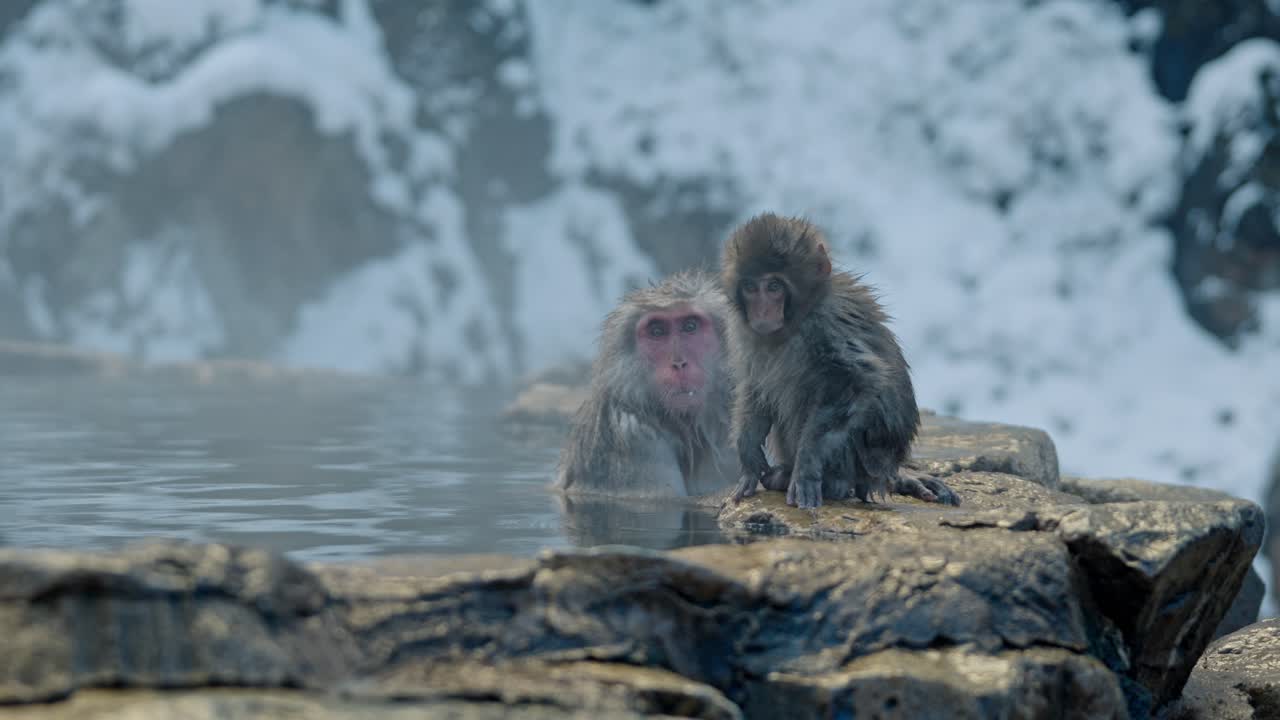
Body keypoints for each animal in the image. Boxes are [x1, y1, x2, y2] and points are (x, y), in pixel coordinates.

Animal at [722, 212, 958, 509]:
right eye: (751, 287)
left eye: (774, 286)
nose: (762, 312)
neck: (800, 316)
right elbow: (755, 385)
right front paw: (749, 455)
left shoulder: (828, 324)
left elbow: (855, 381)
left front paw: (806, 468)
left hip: (862, 462)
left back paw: (821, 482)